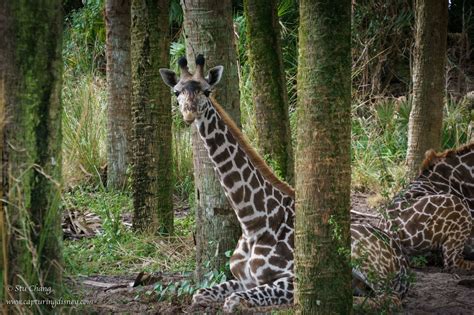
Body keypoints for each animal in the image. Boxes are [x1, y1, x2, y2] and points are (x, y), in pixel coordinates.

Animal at [160, 55, 412, 312]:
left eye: (207, 91)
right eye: (177, 92)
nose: (189, 115)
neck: (253, 224)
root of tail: (402, 261)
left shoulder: (293, 279)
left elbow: (234, 301)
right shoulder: (243, 279)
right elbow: (199, 293)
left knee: (388, 298)